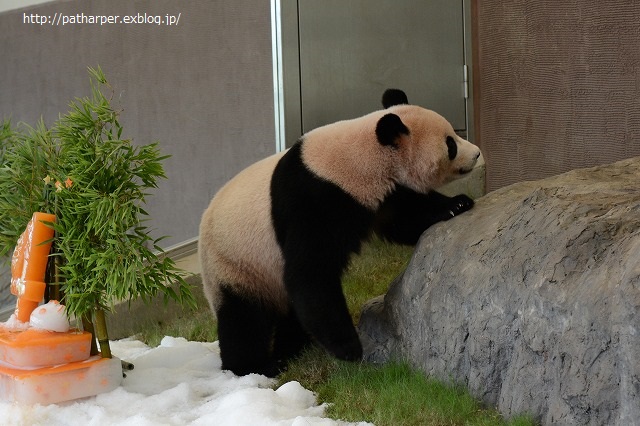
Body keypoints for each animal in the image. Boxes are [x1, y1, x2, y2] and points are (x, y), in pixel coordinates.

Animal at [200, 90, 480, 376]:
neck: (357, 156)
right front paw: (350, 349)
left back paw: (292, 349)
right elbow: (310, 272)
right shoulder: (314, 198)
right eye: (450, 144)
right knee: (243, 317)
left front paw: (456, 204)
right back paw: (256, 365)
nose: (477, 153)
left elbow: (406, 216)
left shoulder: (381, 194)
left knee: (290, 310)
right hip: (236, 264)